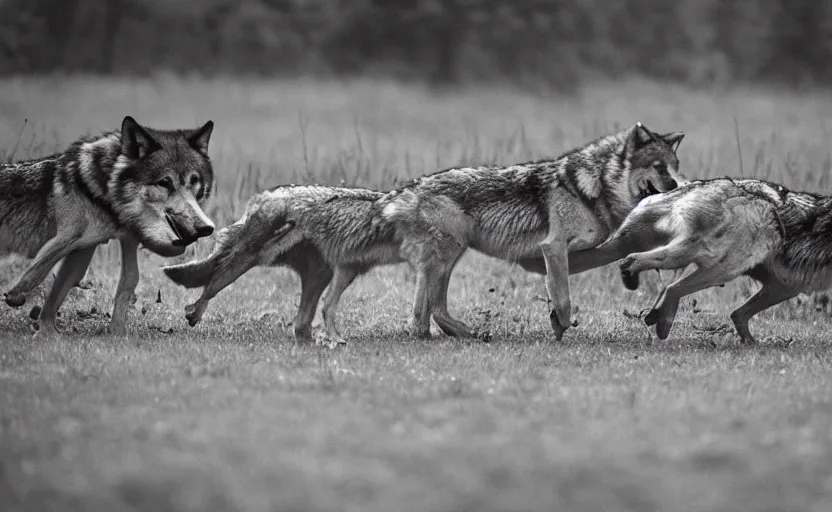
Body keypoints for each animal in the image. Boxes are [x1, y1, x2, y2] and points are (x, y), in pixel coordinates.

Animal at [0, 116, 214, 336]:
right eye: (165, 182)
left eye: (194, 181)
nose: (205, 228)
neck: (108, 189)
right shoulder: (70, 235)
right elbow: (43, 262)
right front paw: (16, 296)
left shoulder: (89, 247)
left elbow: (126, 282)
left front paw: (114, 333)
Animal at [162, 183, 410, 344]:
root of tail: (266, 195)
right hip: (244, 261)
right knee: (208, 288)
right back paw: (194, 312)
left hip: (320, 274)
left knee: (300, 326)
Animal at [380, 121, 684, 340]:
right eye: (659, 167)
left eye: (675, 167)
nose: (677, 186)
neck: (589, 189)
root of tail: (413, 185)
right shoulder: (553, 246)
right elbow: (564, 299)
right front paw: (560, 325)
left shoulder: (563, 253)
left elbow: (559, 288)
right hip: (448, 256)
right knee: (434, 310)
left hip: (444, 260)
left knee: (424, 315)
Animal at [572, 178, 832, 346]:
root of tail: (690, 187)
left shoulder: (787, 284)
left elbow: (738, 314)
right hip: (722, 266)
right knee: (659, 280)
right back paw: (661, 322)